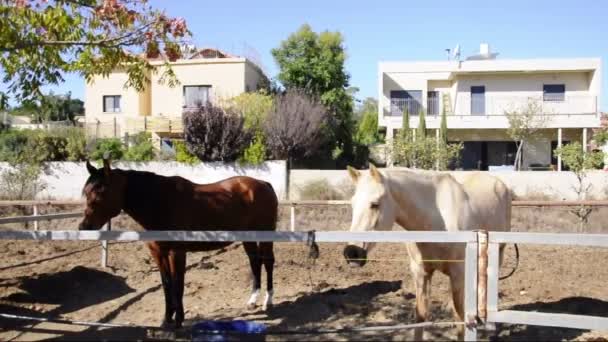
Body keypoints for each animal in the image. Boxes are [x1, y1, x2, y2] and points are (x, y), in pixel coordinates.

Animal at [79, 160, 280, 328]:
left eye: (101, 191)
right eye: (87, 192)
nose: (84, 226)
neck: (161, 203)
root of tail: (263, 184)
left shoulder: (176, 252)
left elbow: (178, 284)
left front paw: (178, 321)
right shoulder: (158, 254)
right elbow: (167, 284)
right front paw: (166, 320)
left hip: (265, 234)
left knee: (268, 262)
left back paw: (268, 301)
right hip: (248, 237)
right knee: (255, 262)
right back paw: (252, 301)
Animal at [344, 165, 510, 340]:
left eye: (374, 204)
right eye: (353, 204)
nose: (352, 252)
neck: (437, 222)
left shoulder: (458, 272)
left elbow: (460, 317)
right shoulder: (421, 273)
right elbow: (421, 316)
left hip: (498, 252)